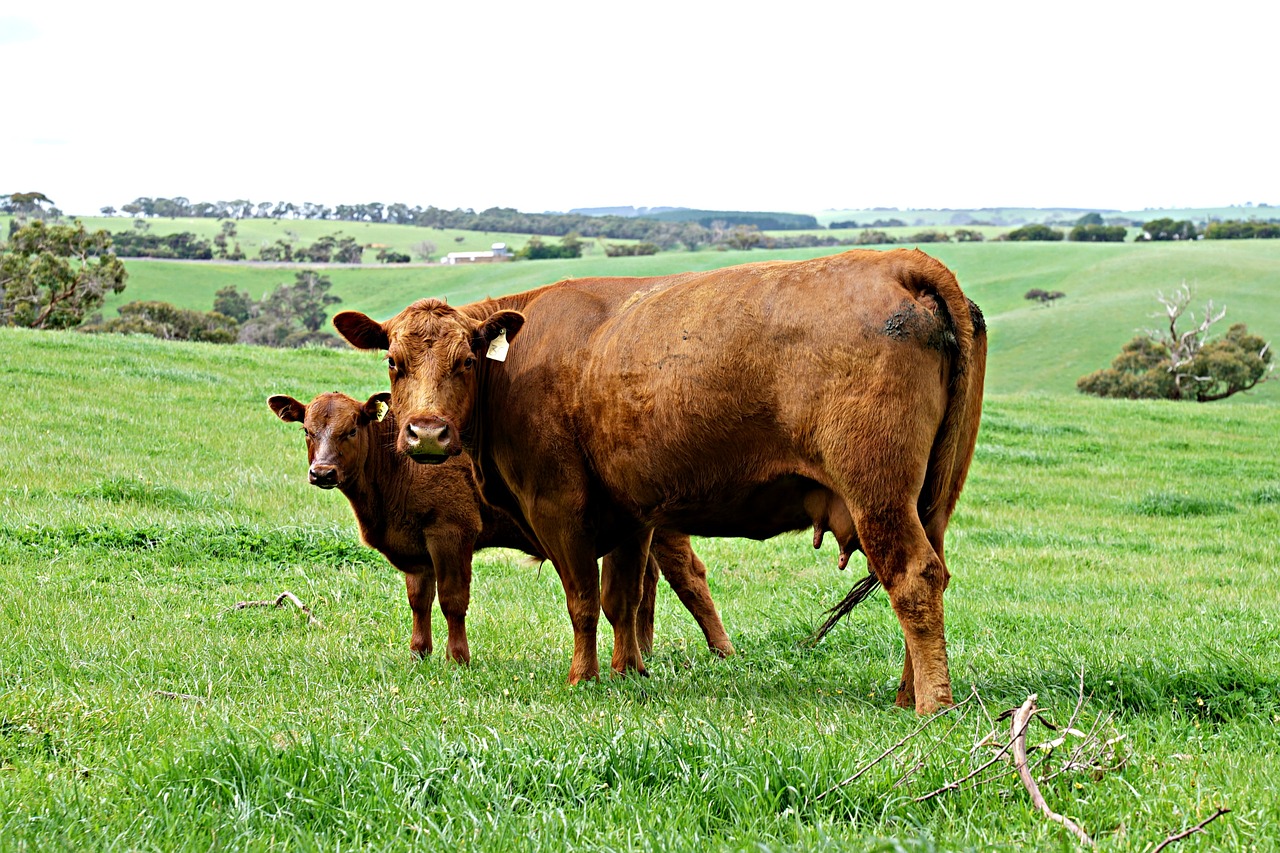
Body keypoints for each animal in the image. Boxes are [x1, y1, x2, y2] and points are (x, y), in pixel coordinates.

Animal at [264, 389, 737, 660]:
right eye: (307, 430)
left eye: (351, 430)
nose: (322, 472)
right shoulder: (416, 547)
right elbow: (419, 600)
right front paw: (419, 653)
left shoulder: (451, 532)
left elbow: (452, 600)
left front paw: (458, 658)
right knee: (649, 583)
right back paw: (645, 651)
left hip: (665, 528)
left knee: (690, 578)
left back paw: (722, 650)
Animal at [335, 247, 983, 712]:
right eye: (393, 362)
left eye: (466, 361)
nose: (426, 433)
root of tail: (904, 262)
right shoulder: (631, 514)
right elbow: (622, 599)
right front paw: (629, 672)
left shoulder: (558, 505)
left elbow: (583, 599)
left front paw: (583, 678)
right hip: (932, 499)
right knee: (934, 571)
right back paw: (906, 694)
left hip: (877, 491)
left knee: (913, 576)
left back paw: (932, 706)